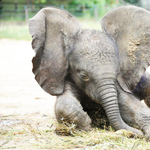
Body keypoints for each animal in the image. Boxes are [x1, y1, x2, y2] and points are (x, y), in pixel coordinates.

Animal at [28, 5, 150, 137]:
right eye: (83, 75)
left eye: (117, 71)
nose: (138, 133)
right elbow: (64, 104)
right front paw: (86, 125)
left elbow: (132, 104)